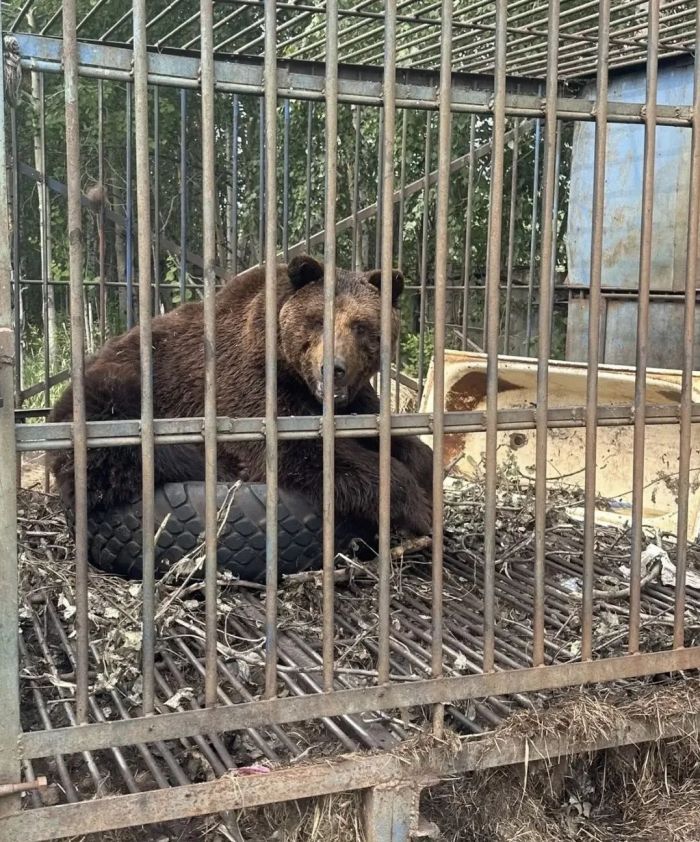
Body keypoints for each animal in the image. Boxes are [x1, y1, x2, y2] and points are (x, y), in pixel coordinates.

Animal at [49, 255, 434, 537]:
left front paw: (423, 472)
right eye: (316, 320)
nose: (333, 368)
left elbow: (400, 439)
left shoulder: (355, 402)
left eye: (360, 325)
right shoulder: (246, 384)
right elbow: (300, 450)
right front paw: (419, 509)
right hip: (118, 384)